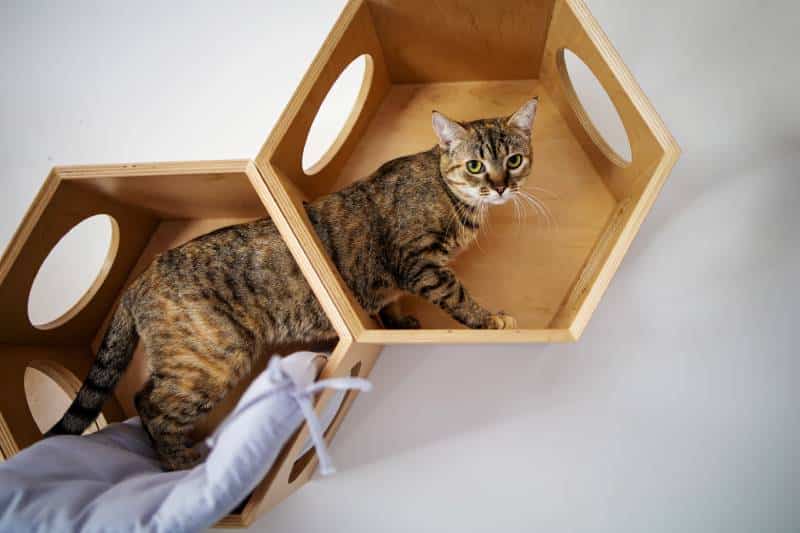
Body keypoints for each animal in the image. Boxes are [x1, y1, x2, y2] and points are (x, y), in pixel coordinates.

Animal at [47, 96, 540, 470]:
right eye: (475, 165)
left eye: (514, 160)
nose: (500, 186)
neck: (449, 194)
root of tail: (140, 279)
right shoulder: (417, 261)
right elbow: (458, 295)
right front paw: (489, 320)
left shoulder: (397, 280)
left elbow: (390, 304)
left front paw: (400, 321)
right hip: (210, 359)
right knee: (149, 404)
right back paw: (178, 462)